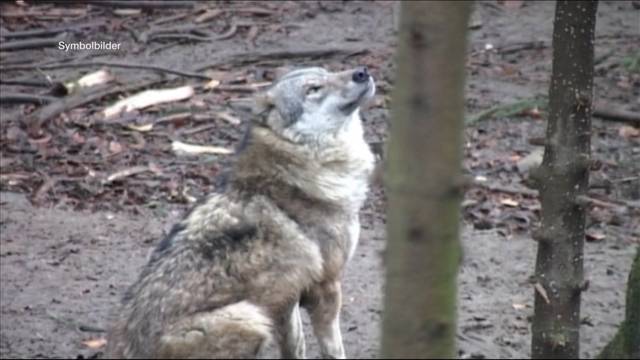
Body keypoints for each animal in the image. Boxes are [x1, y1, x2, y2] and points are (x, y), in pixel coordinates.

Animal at [103, 66, 378, 358]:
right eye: (313, 89)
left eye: (328, 72)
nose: (361, 72)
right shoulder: (325, 289)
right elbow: (333, 350)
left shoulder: (286, 296)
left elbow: (294, 346)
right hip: (249, 317)